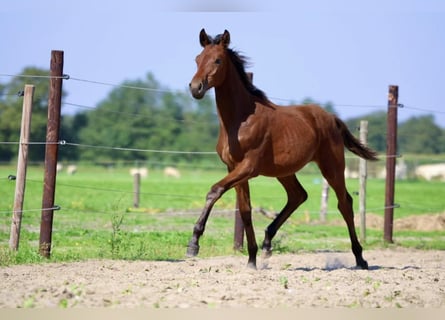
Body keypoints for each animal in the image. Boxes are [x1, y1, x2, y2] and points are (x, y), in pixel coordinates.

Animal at [186, 29, 376, 270]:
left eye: (218, 60)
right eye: (197, 59)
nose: (196, 88)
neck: (240, 120)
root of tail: (332, 118)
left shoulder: (248, 167)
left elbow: (214, 191)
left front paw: (193, 244)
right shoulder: (234, 168)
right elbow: (245, 211)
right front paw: (252, 260)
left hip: (332, 166)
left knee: (345, 203)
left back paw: (361, 258)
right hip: (284, 171)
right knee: (298, 195)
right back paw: (267, 245)